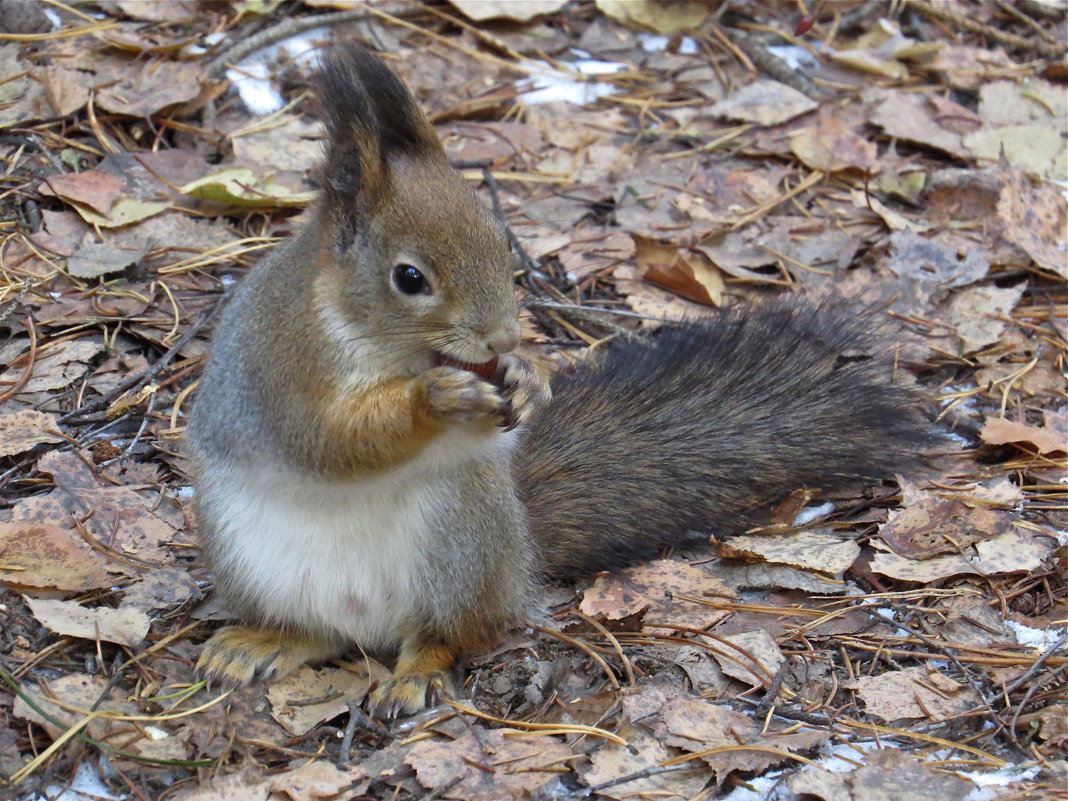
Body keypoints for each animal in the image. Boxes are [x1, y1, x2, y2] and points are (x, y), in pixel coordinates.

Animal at [190, 45, 935, 721]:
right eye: (409, 278)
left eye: (500, 240)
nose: (500, 340)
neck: (377, 340)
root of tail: (519, 562)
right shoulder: (283, 372)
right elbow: (328, 440)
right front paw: (436, 400)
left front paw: (529, 374)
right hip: (247, 552)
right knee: (320, 633)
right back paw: (263, 641)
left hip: (461, 543)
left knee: (451, 634)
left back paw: (415, 670)